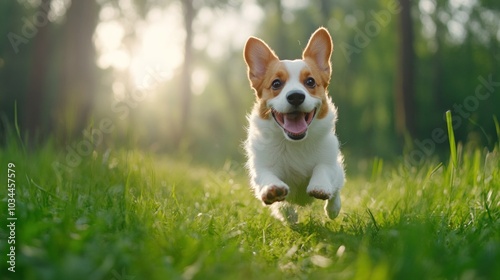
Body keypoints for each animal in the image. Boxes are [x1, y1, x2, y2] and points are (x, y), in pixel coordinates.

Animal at [244, 26, 346, 223]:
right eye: (276, 83)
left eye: (310, 81)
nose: (296, 96)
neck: (294, 143)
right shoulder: (261, 167)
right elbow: (267, 177)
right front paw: (272, 190)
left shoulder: (330, 162)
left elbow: (323, 169)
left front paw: (320, 187)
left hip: (339, 173)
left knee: (337, 189)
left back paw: (333, 209)